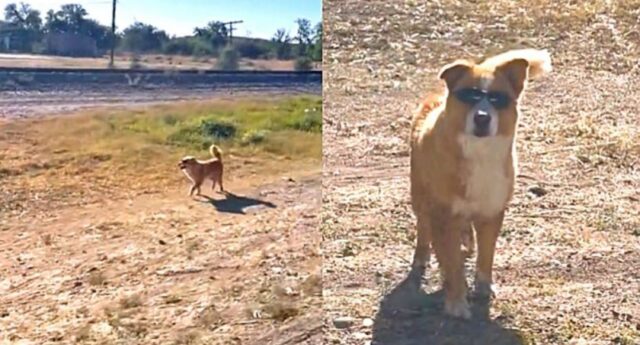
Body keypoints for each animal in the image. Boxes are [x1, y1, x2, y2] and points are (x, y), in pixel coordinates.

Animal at [412, 47, 552, 318]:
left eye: (498, 98)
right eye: (470, 95)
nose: (482, 118)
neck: (479, 152)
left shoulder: (492, 212)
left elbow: (486, 255)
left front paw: (483, 288)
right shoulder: (442, 216)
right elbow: (452, 265)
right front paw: (457, 301)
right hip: (419, 196)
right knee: (424, 228)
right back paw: (423, 256)